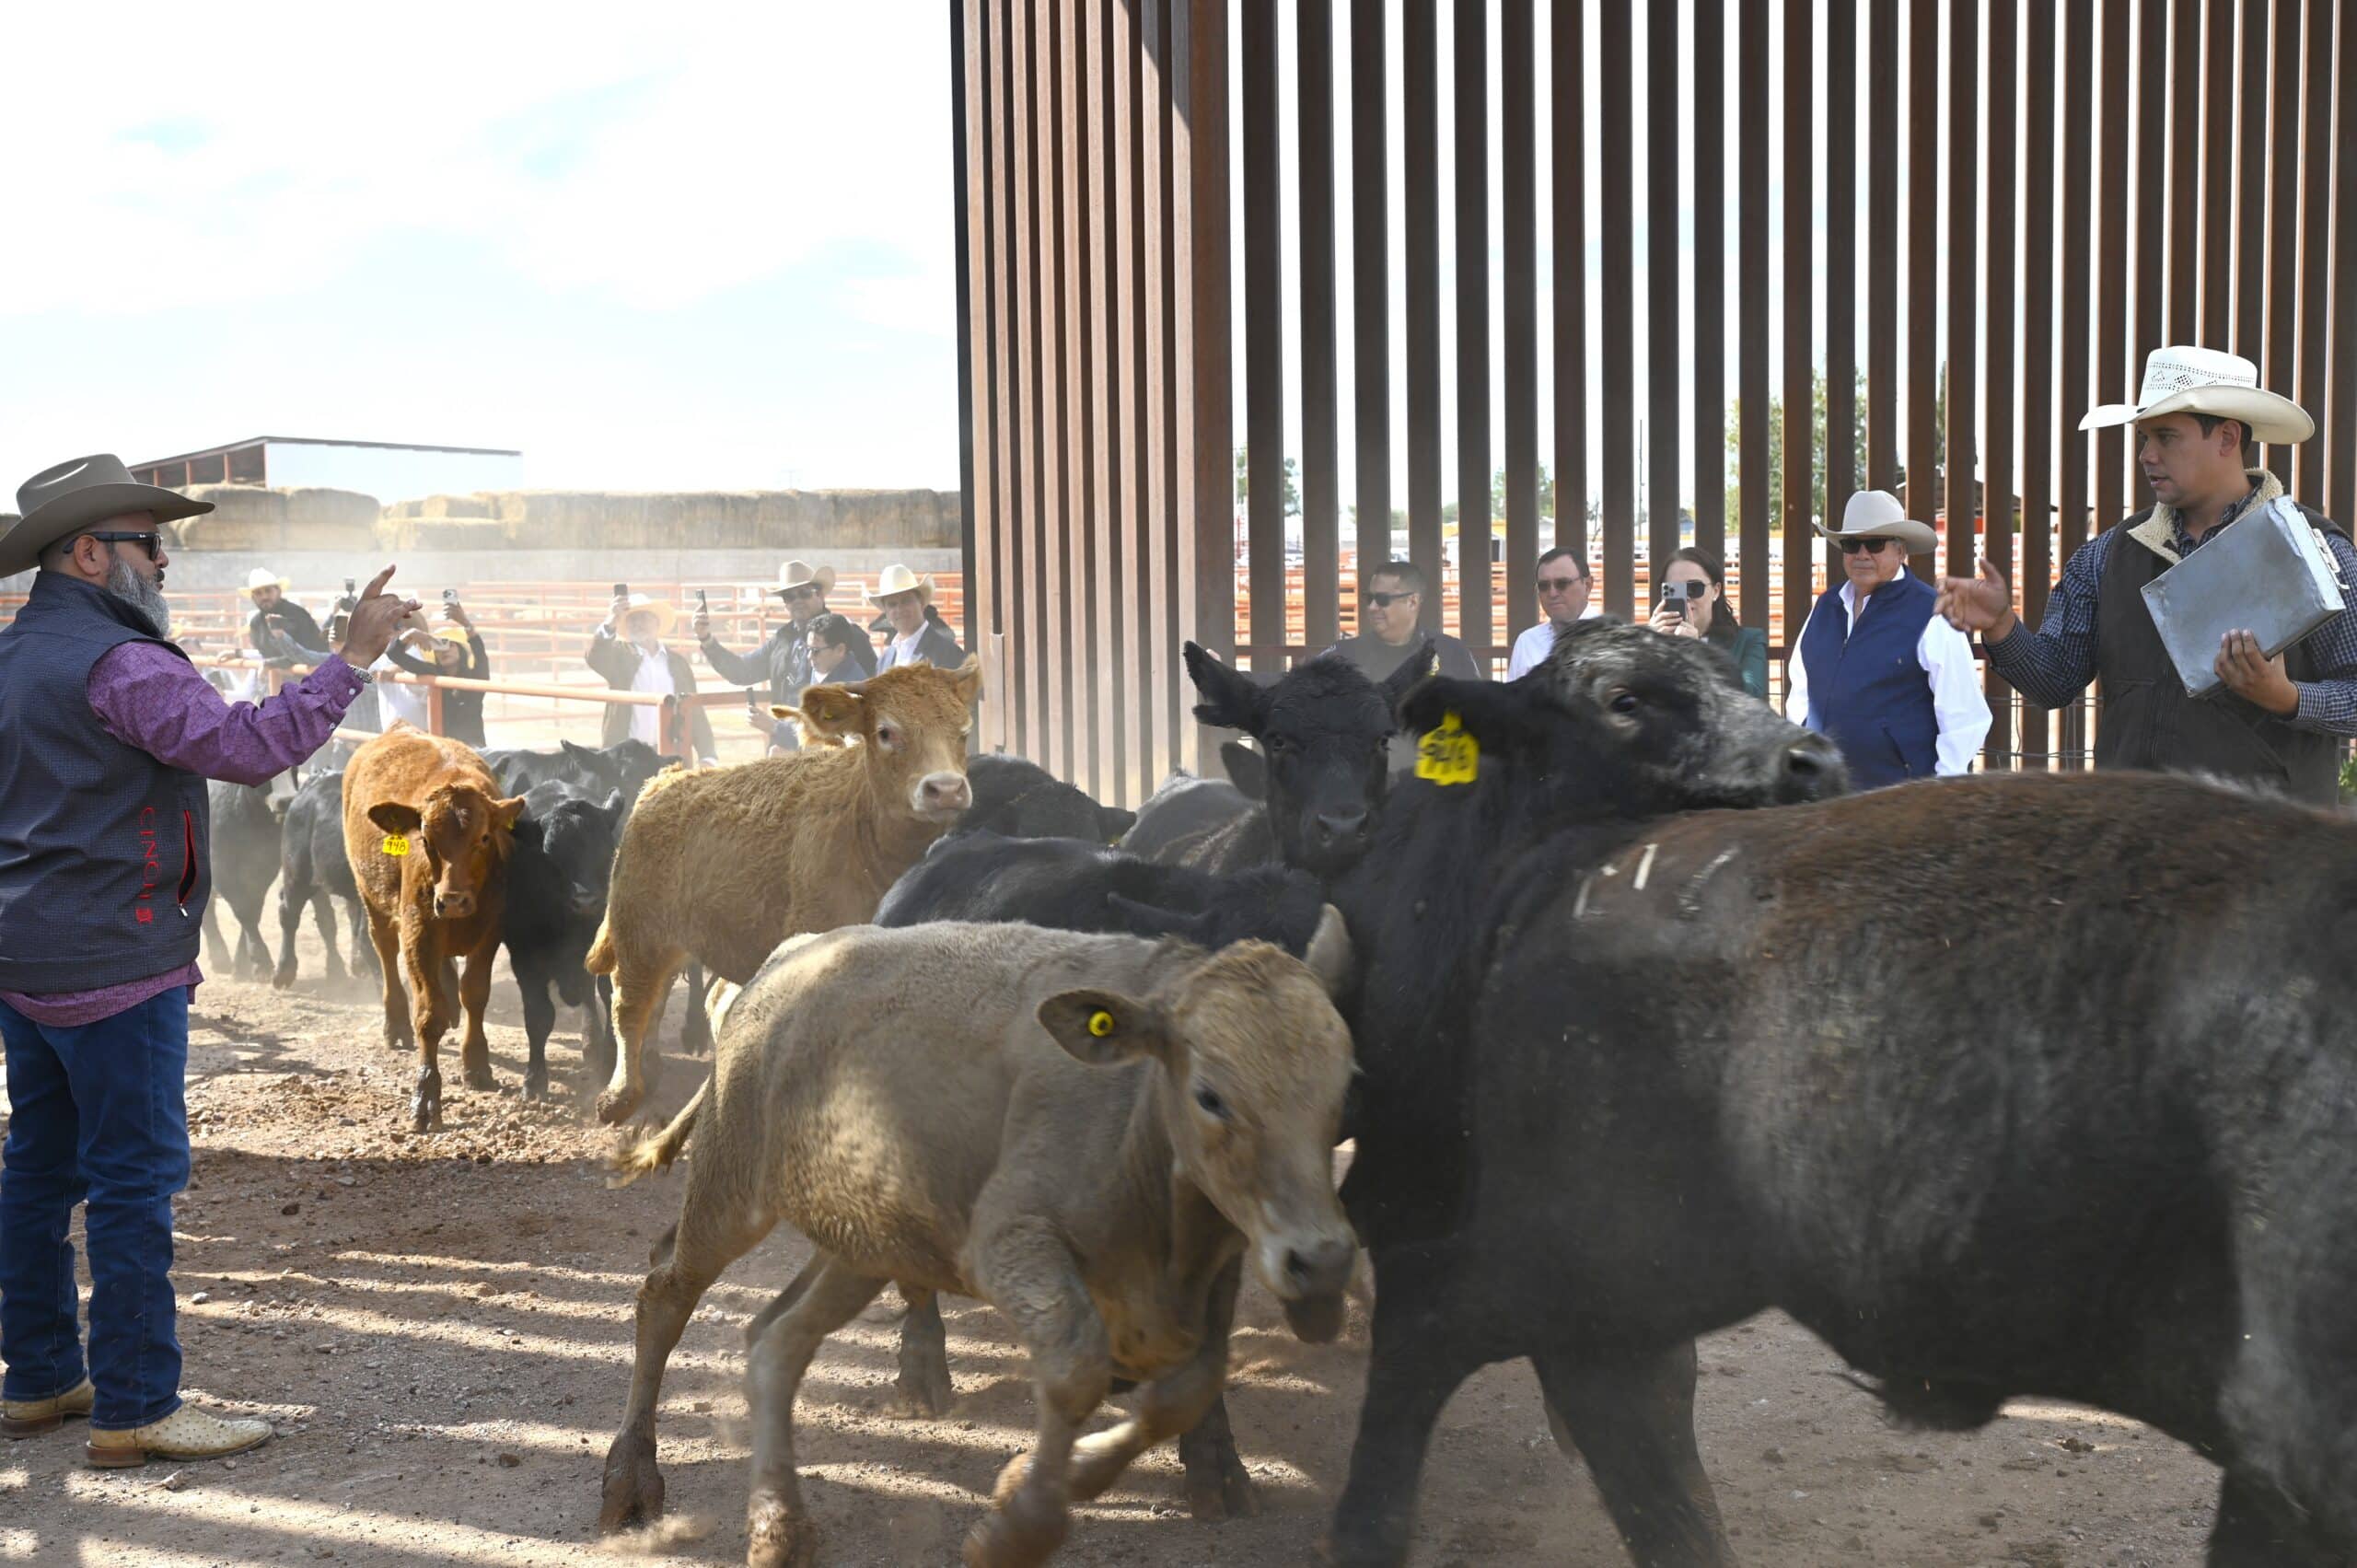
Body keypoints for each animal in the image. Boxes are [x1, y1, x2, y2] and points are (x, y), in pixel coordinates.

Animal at [341, 725, 528, 1132]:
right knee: (385, 952)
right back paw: (395, 1025)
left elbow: (475, 993)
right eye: (425, 839)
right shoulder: (420, 931)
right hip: (371, 899)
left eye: (484, 838)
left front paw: (477, 1063)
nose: (452, 900)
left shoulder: (492, 929)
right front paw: (425, 1094)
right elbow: (428, 1014)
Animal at [502, 780, 629, 1101]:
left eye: (605, 852)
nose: (585, 901)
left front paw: (609, 1060)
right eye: (550, 856)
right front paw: (534, 1080)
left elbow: (609, 998)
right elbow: (539, 1017)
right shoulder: (524, 958)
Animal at [586, 658, 982, 1123]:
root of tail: (660, 785)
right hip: (638, 934)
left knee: (671, 1001)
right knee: (630, 1007)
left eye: (963, 730)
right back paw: (621, 1095)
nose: (946, 788)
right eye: (886, 731)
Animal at [598, 915, 1359, 1568]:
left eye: (1344, 1084)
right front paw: (1016, 1528)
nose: (1322, 1258)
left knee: (776, 1341)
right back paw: (632, 1479)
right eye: (1211, 1095)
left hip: (862, 1247)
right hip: (731, 1189)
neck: (1135, 1108)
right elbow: (1077, 1368)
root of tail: (784, 958)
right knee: (666, 1292)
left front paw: (1045, 1479)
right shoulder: (1011, 1240)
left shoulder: (1218, 1268)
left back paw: (779, 1526)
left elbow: (1190, 1389)